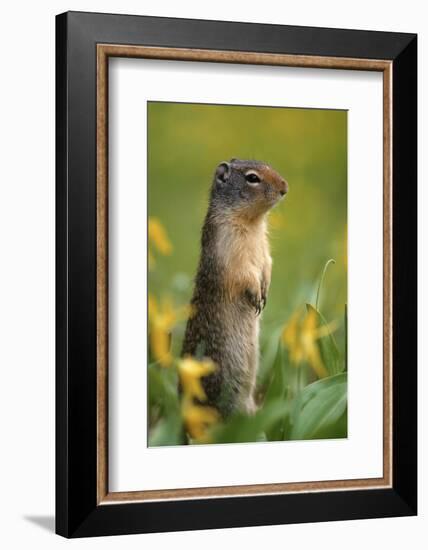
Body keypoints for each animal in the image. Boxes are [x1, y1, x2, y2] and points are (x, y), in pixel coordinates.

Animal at [181, 160, 288, 418]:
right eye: (252, 178)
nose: (285, 188)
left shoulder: (264, 248)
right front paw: (257, 296)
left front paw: (265, 291)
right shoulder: (229, 248)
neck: (252, 223)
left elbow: (267, 263)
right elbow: (244, 274)